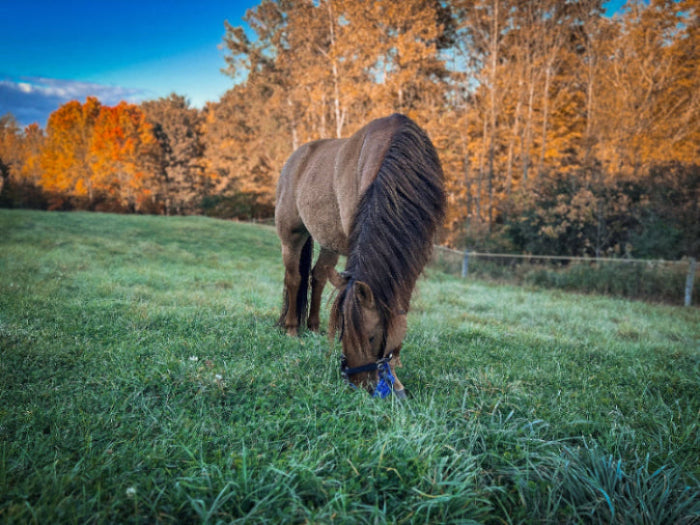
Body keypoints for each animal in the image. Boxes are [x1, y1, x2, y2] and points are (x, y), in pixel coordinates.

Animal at [274, 113, 446, 397]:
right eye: (344, 331)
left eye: (372, 337)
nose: (356, 382)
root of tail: (296, 158)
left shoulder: (414, 257)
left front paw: (396, 364)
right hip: (292, 236)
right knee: (294, 279)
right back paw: (291, 330)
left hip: (329, 243)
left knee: (317, 277)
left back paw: (313, 326)